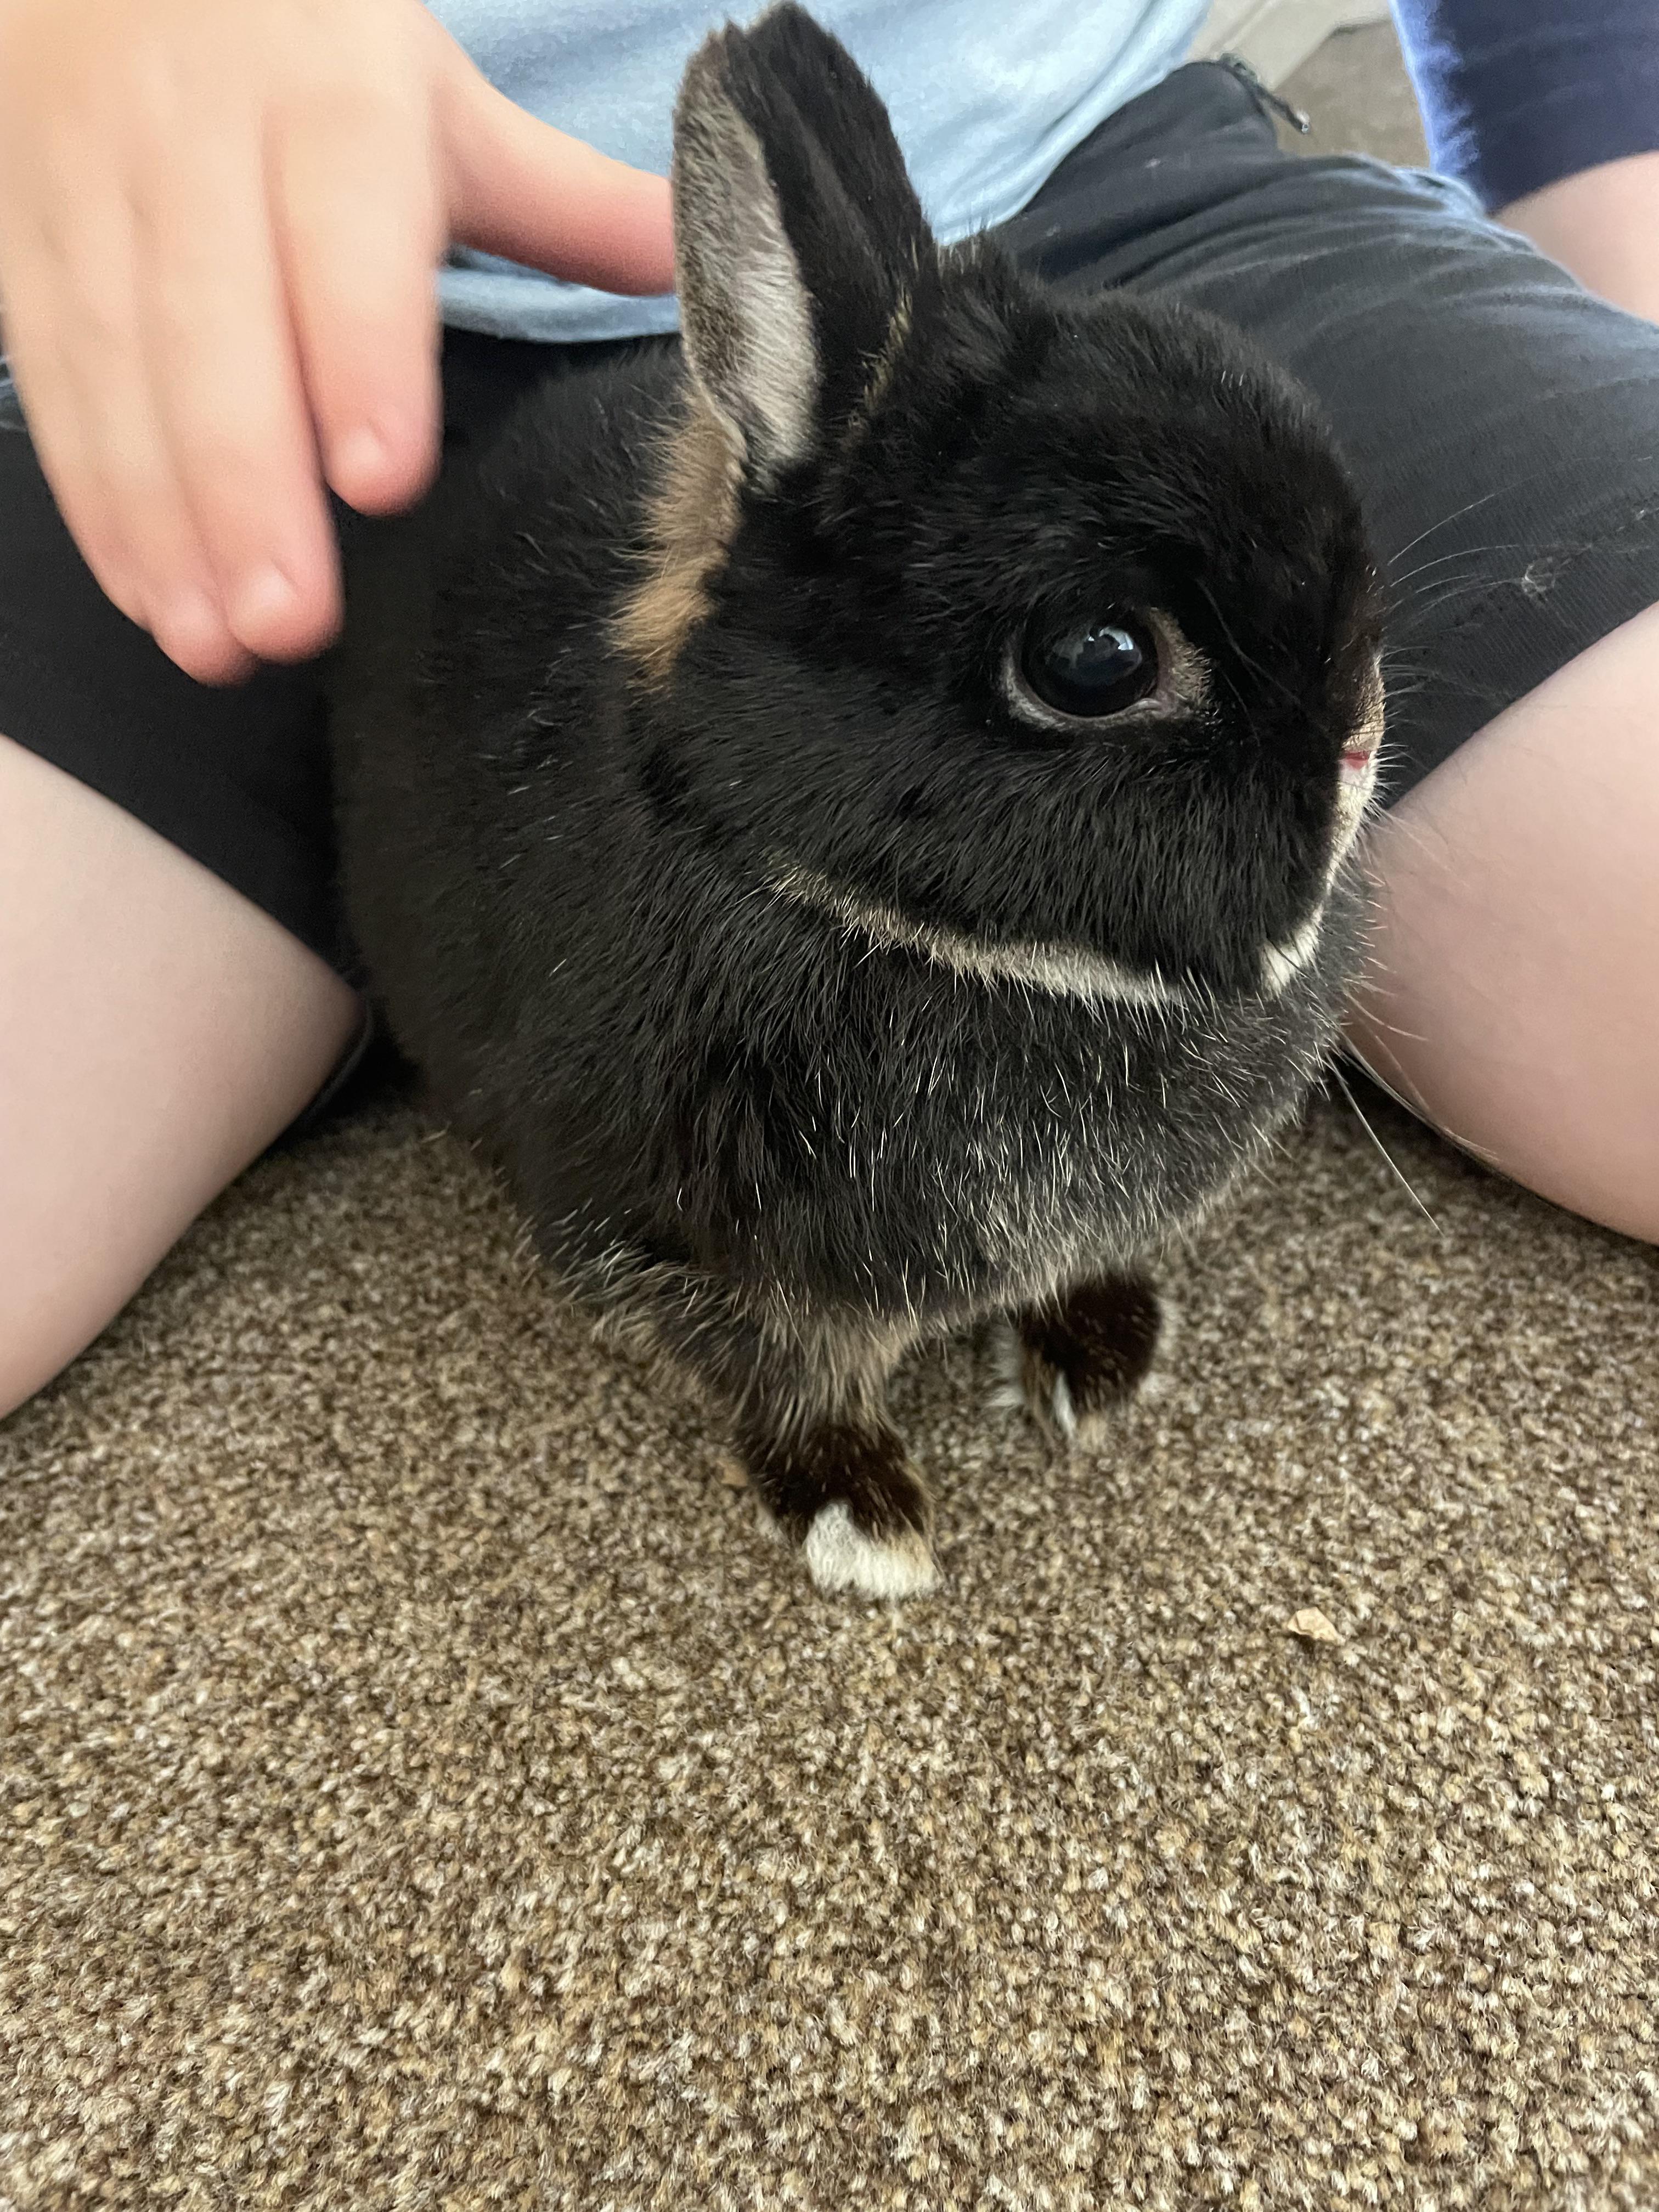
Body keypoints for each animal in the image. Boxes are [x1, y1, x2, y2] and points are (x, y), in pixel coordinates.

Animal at [327, 0, 1389, 1593]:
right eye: (1097, 658)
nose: (1364, 732)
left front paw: (1103, 1358)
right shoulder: (666, 1246)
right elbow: (784, 1376)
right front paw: (864, 1519)